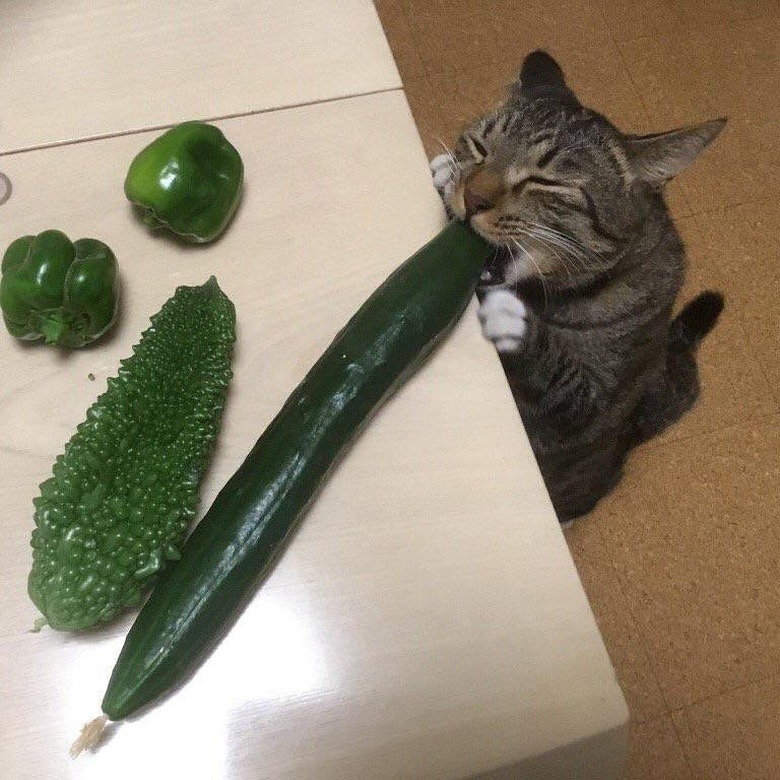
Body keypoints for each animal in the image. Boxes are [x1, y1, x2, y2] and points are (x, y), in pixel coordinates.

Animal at [430, 53, 724, 524]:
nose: (471, 198)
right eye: (479, 147)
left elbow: (556, 377)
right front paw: (446, 173)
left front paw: (514, 321)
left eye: (545, 181)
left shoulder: (586, 407)